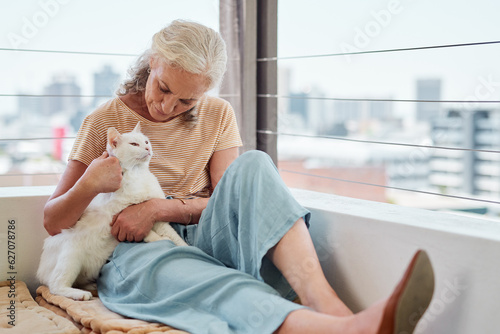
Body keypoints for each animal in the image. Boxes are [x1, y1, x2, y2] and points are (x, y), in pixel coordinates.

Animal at [37, 122, 188, 300]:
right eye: (134, 144)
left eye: (146, 141)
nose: (148, 148)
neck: (138, 174)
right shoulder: (122, 217)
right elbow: (148, 233)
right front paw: (160, 240)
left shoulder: (155, 217)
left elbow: (175, 236)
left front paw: (187, 247)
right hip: (71, 256)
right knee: (56, 286)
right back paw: (80, 294)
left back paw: (90, 286)